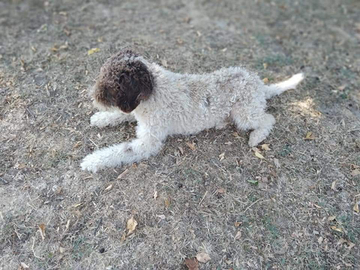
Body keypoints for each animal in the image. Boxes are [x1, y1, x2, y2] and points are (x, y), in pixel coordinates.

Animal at [81, 50, 304, 173]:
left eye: (112, 85)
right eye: (102, 73)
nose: (93, 97)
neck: (154, 89)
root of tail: (260, 85)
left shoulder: (148, 143)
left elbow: (119, 151)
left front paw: (92, 160)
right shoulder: (136, 110)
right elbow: (123, 114)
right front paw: (101, 118)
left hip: (245, 114)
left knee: (268, 118)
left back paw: (256, 137)